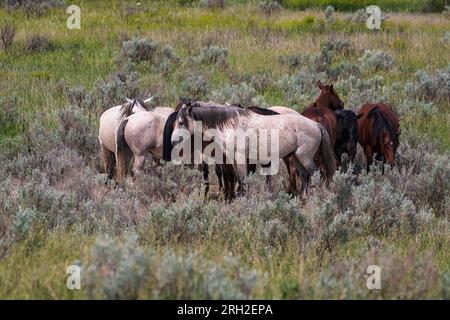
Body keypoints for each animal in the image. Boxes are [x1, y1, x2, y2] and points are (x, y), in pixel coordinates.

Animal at [171, 104, 336, 195]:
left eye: (181, 122)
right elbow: (239, 180)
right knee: (305, 177)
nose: (173, 141)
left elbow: (243, 181)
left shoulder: (240, 158)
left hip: (304, 157)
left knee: (318, 174)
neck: (230, 125)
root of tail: (316, 125)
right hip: (296, 157)